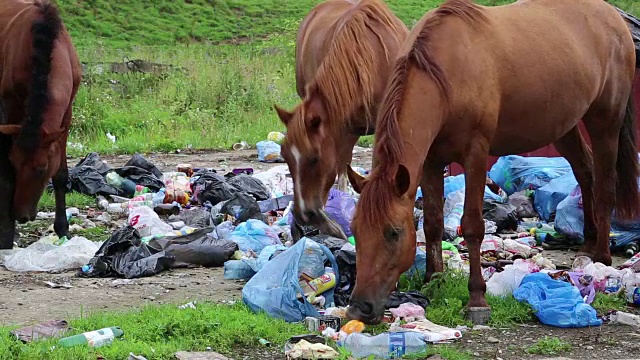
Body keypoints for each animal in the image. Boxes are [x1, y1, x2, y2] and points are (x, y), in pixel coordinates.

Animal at [0, 0, 82, 249]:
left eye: (42, 168)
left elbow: (61, 174)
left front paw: (63, 228)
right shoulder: (9, 110)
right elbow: (6, 175)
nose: (21, 215)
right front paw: (8, 233)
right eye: (15, 164)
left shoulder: (66, 116)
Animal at [348, 0, 636, 324]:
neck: (445, 76)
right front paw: (434, 279)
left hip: (605, 122)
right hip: (565, 125)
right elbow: (433, 223)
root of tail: (612, 16)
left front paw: (477, 298)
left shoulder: (475, 155)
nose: (360, 308)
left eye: (393, 233)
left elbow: (472, 226)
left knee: (605, 186)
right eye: (355, 229)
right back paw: (587, 243)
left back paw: (601, 257)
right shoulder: (430, 162)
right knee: (585, 172)